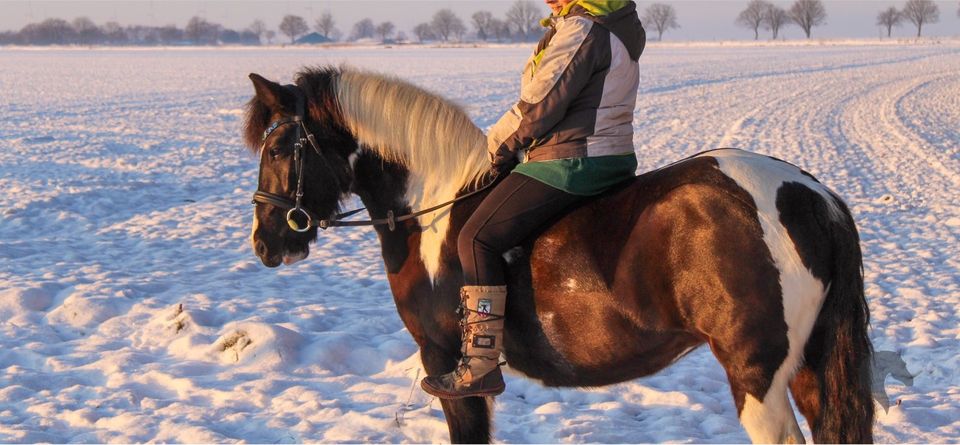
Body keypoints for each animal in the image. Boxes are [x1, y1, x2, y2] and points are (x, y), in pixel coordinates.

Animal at [244, 64, 872, 442]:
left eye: (277, 148)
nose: (266, 243)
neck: (432, 205)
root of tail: (811, 196)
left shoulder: (445, 363)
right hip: (808, 367)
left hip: (756, 376)